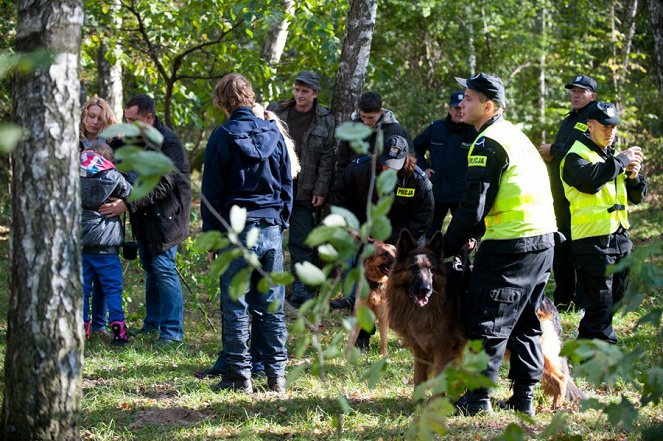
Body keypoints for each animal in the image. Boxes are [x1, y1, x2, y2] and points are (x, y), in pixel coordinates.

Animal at [386, 230, 584, 410]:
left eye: (432, 270)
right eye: (414, 269)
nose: (425, 289)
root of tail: (547, 301)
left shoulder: (443, 349)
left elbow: (439, 379)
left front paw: (434, 405)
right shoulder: (420, 348)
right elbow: (418, 378)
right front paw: (416, 404)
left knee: (560, 378)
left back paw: (556, 406)